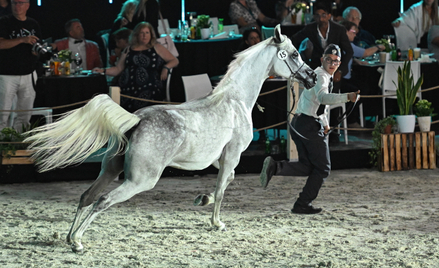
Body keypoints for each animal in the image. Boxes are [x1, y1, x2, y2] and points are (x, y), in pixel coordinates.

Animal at [24, 24, 316, 251]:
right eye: (295, 53)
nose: (312, 77)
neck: (235, 101)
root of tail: (136, 120)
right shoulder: (232, 154)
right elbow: (222, 188)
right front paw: (217, 222)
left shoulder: (217, 158)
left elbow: (226, 181)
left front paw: (202, 199)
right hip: (140, 180)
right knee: (102, 200)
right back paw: (78, 242)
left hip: (109, 169)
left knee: (87, 196)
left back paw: (69, 236)